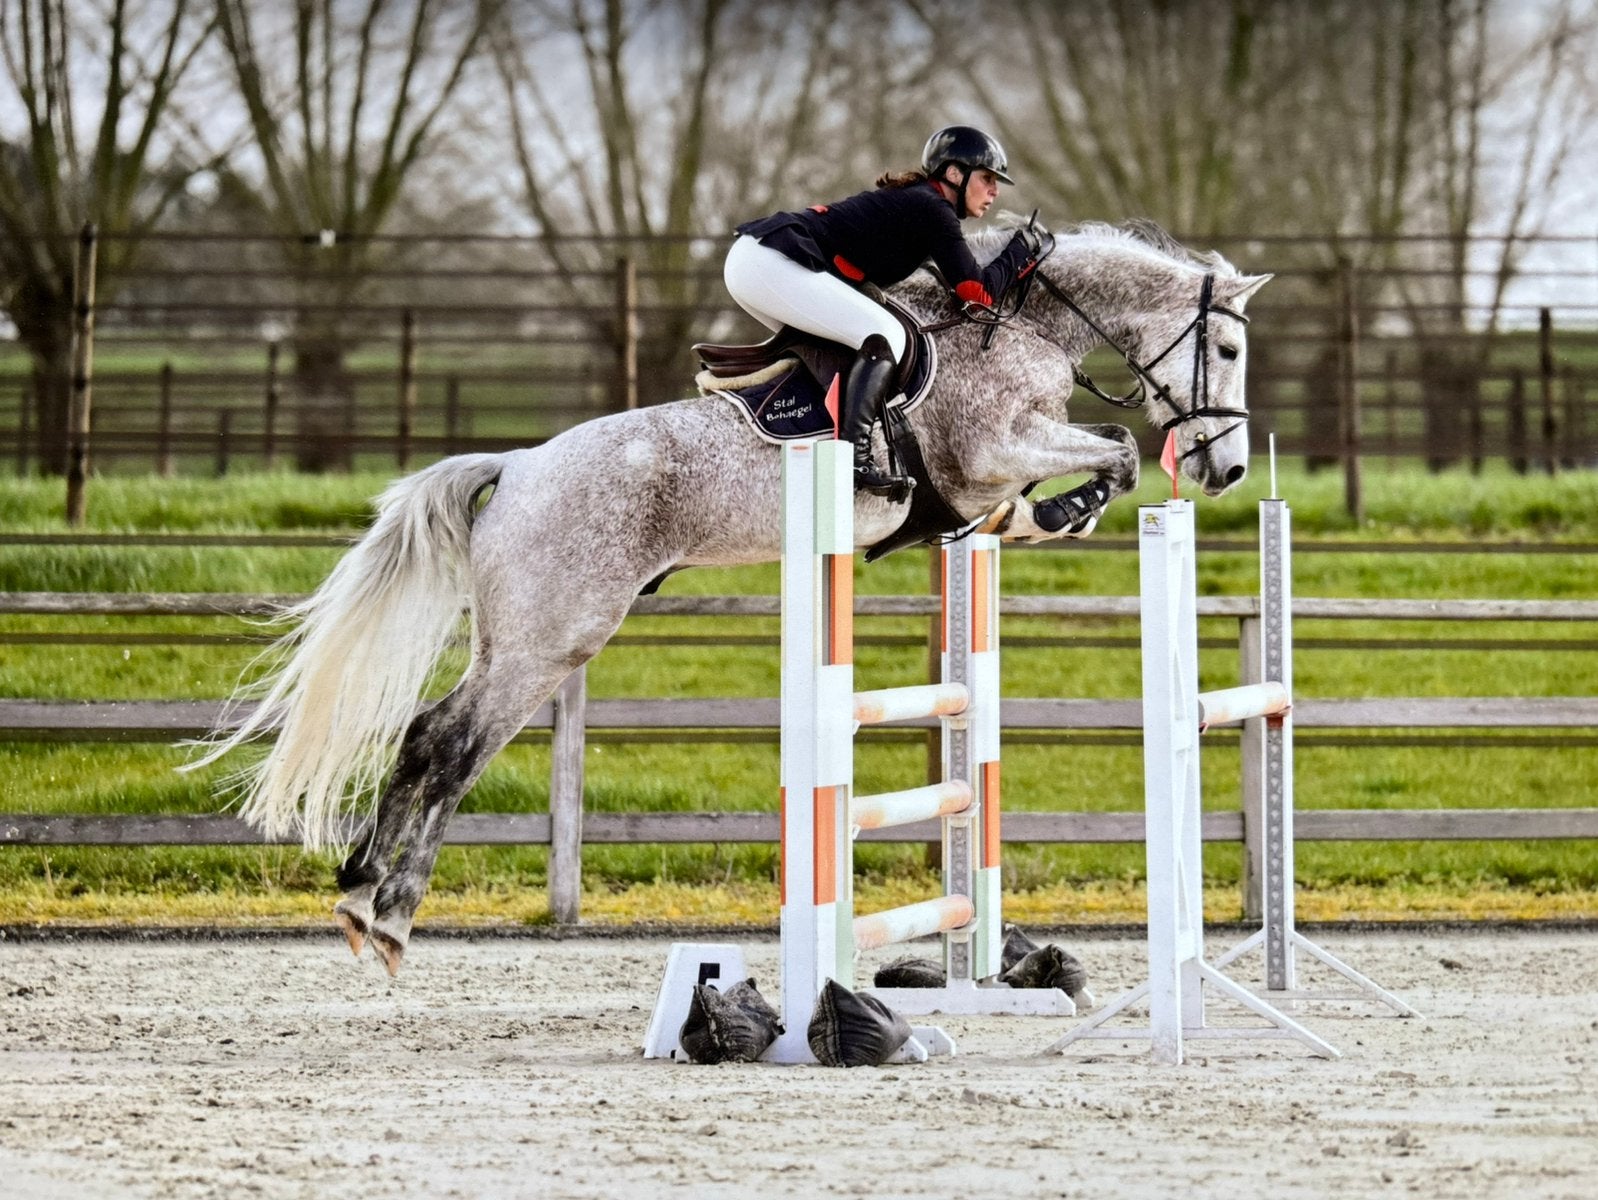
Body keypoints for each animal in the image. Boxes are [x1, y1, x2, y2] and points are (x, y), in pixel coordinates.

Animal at [187, 218, 1271, 974]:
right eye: (1224, 352)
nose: (1222, 471)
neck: (1022, 328)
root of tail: (520, 465)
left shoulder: (994, 473)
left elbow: (1072, 472)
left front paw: (1045, 521)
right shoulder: (994, 450)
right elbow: (1113, 450)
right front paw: (1071, 506)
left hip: (532, 637)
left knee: (434, 738)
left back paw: (369, 900)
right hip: (553, 634)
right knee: (447, 743)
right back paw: (381, 911)